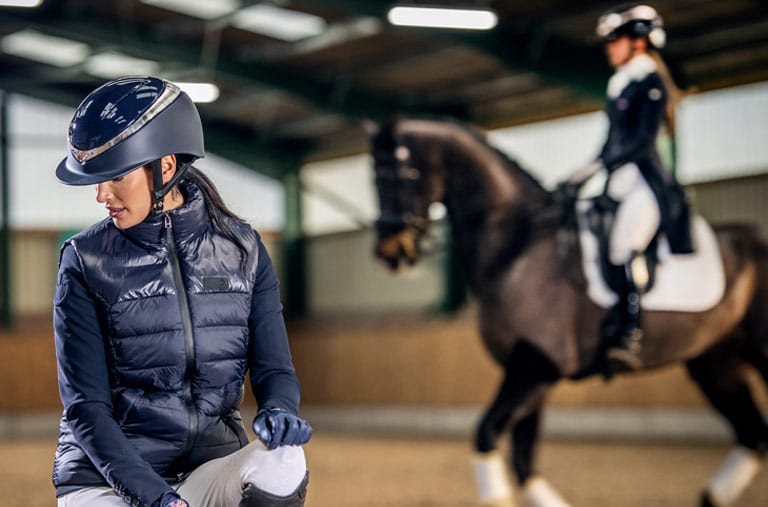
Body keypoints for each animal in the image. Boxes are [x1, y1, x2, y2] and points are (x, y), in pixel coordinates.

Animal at [366, 117, 768, 507]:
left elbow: (487, 433)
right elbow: (523, 457)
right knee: (754, 435)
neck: (518, 250)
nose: (389, 253)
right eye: (373, 179)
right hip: (715, 363)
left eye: (402, 176)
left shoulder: (537, 362)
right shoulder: (529, 372)